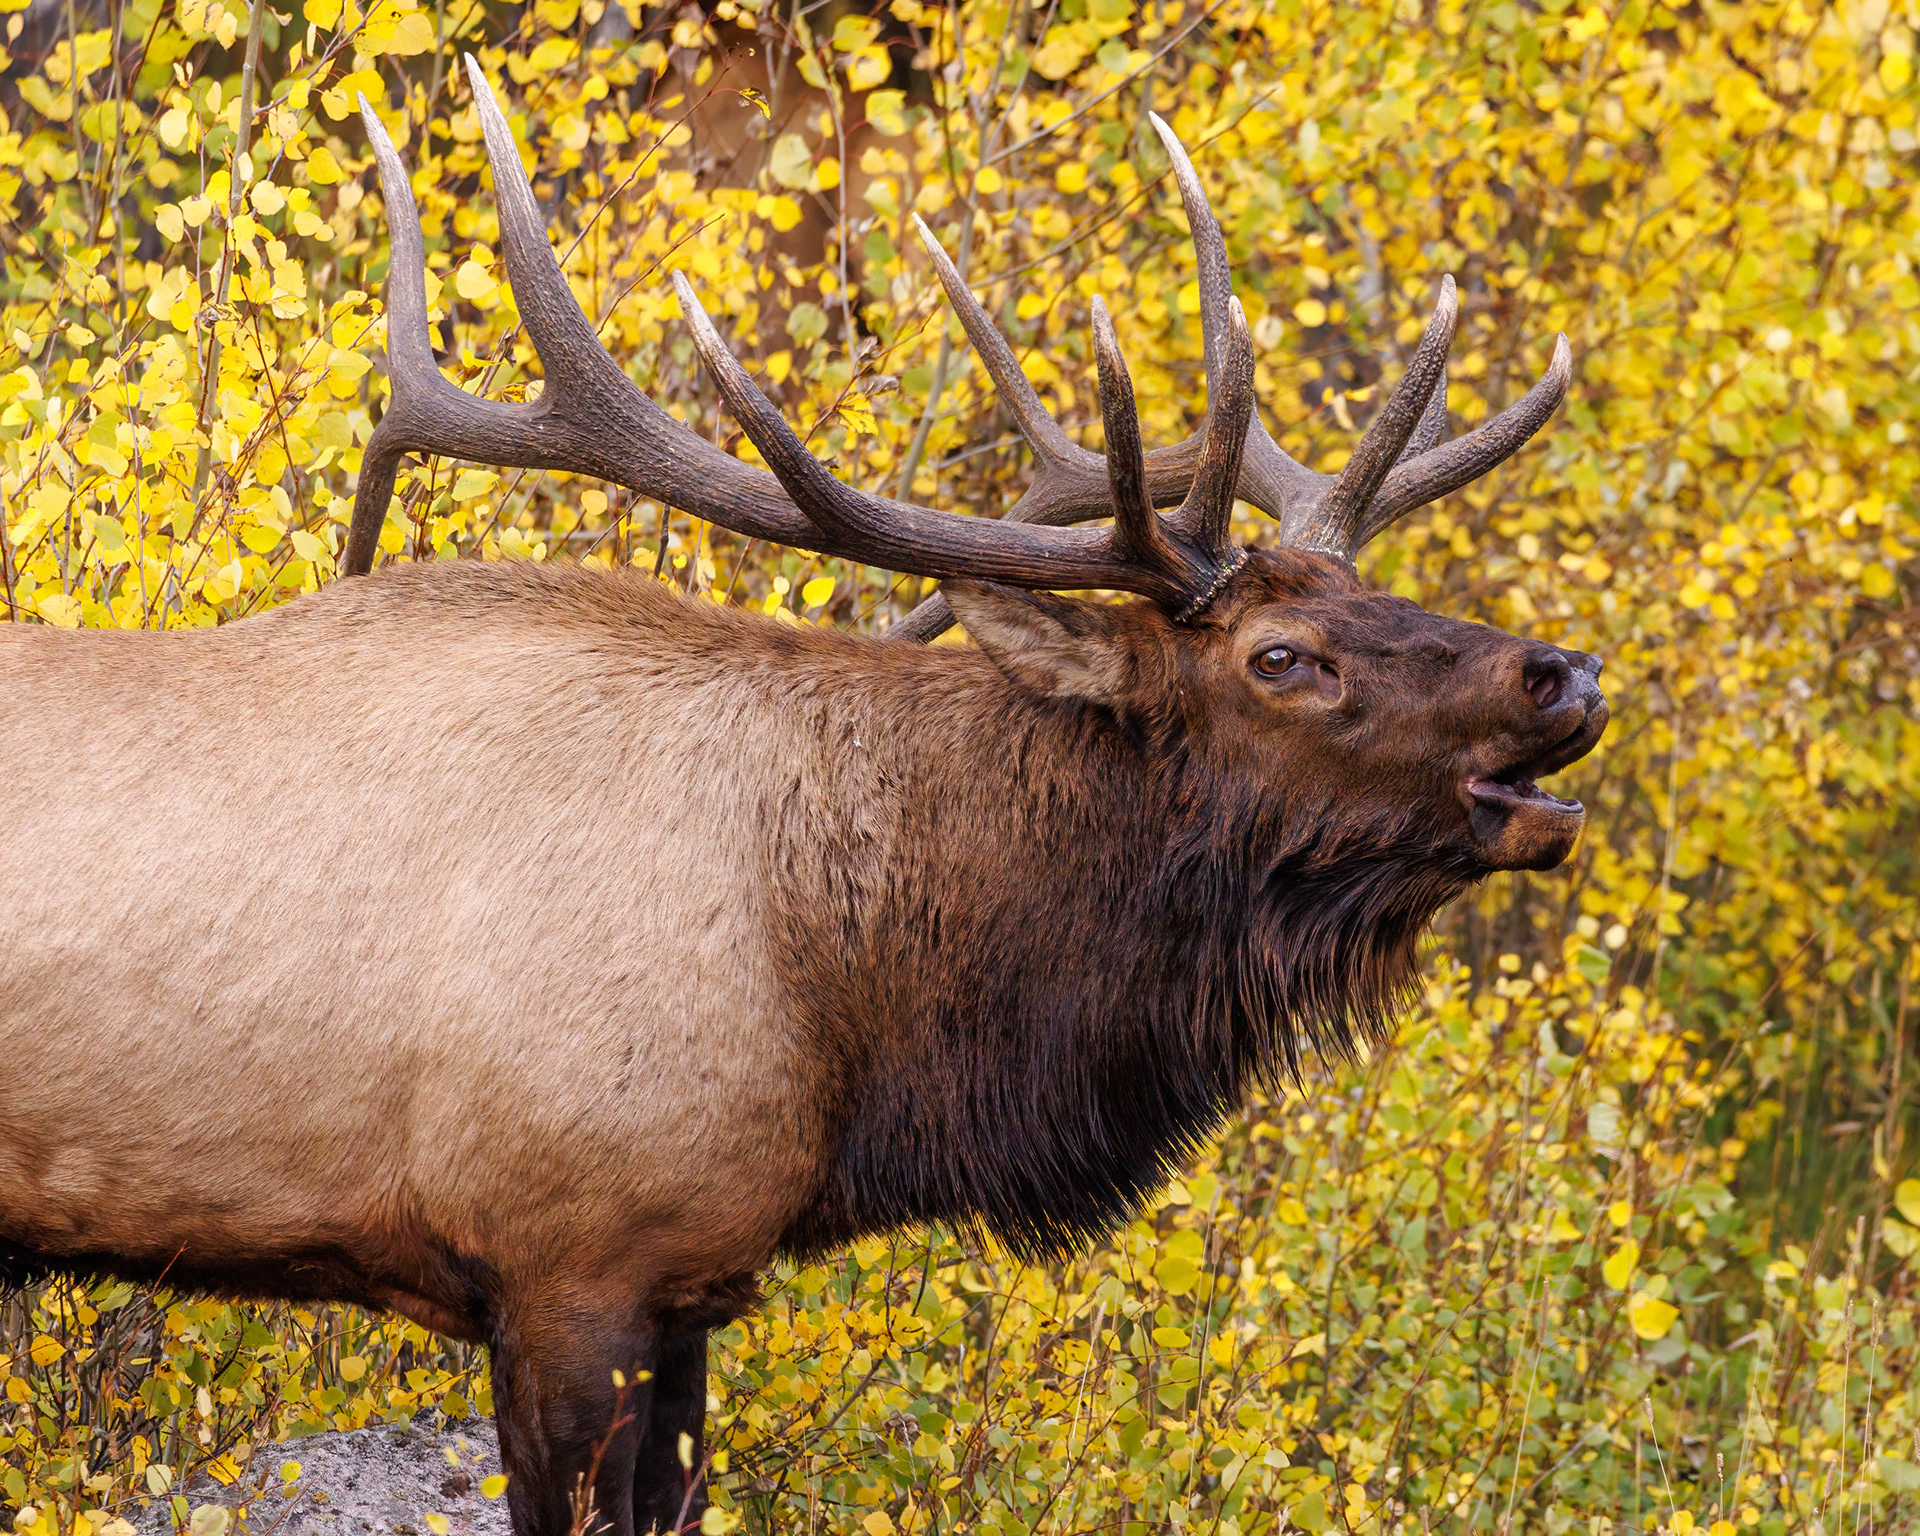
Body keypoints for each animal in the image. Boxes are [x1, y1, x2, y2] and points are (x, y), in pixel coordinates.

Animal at [0, 57, 1607, 1536]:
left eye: (1364, 592)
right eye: (1281, 656)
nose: (1565, 672)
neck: (845, 1012)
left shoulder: (690, 1288)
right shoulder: (568, 1257)